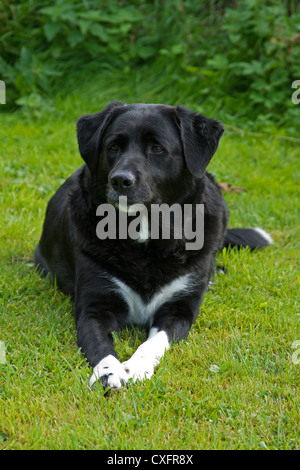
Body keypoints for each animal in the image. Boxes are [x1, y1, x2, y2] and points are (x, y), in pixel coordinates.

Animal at [34, 103, 272, 390]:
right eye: (113, 147)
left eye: (157, 148)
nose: (120, 180)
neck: (144, 235)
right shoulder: (93, 307)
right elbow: (99, 344)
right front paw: (109, 372)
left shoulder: (179, 310)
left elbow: (154, 342)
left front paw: (135, 367)